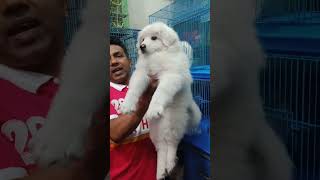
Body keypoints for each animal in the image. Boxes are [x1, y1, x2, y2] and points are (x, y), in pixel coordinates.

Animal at [121, 21, 201, 179]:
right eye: (143, 39)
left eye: (154, 38)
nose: (142, 46)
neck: (157, 56)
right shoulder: (142, 74)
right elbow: (133, 89)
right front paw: (127, 105)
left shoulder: (171, 76)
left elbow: (160, 93)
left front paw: (153, 109)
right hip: (156, 133)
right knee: (161, 150)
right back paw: (160, 172)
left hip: (175, 125)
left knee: (172, 146)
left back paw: (169, 165)